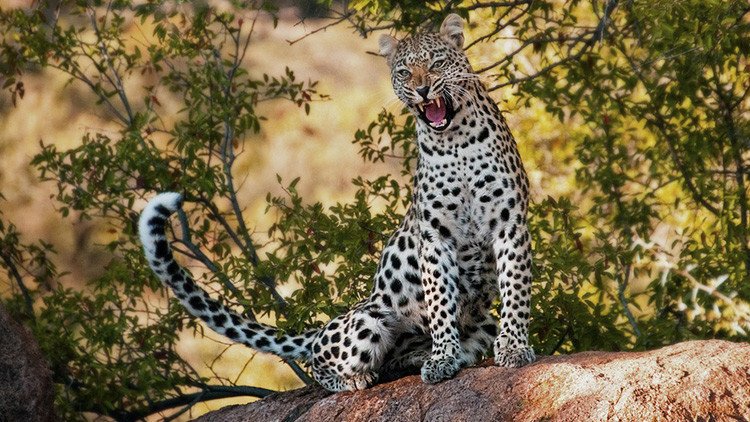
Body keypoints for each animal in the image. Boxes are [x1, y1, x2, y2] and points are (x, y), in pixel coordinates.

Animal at [139, 13, 535, 393]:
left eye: (437, 62)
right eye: (404, 72)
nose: (421, 89)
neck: (455, 141)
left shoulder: (509, 222)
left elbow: (516, 290)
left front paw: (514, 347)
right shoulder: (436, 236)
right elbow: (440, 302)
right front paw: (442, 358)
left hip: (481, 321)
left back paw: (418, 359)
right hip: (366, 321)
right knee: (320, 364)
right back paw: (358, 378)